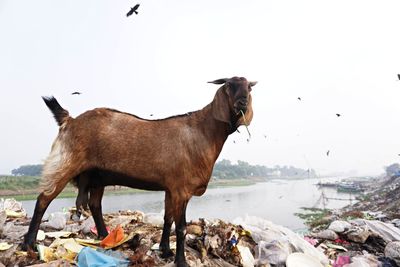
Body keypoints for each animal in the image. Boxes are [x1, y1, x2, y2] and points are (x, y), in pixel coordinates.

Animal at [21, 76, 255, 266]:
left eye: (249, 88)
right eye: (229, 86)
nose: (242, 102)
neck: (202, 132)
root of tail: (69, 120)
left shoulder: (171, 187)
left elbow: (167, 218)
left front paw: (165, 251)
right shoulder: (182, 188)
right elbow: (181, 227)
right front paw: (181, 261)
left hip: (97, 176)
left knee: (94, 204)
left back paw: (105, 236)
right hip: (66, 162)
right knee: (44, 198)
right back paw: (28, 244)